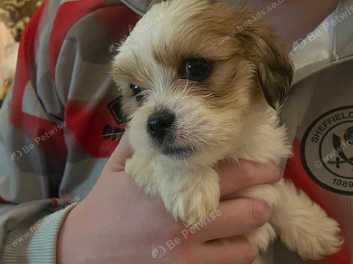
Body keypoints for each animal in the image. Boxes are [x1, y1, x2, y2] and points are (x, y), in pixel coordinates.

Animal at [112, 0, 340, 260]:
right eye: (136, 90)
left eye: (196, 67)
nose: (156, 122)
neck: (227, 152)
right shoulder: (136, 156)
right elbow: (159, 158)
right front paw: (192, 184)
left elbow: (277, 191)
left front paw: (309, 225)